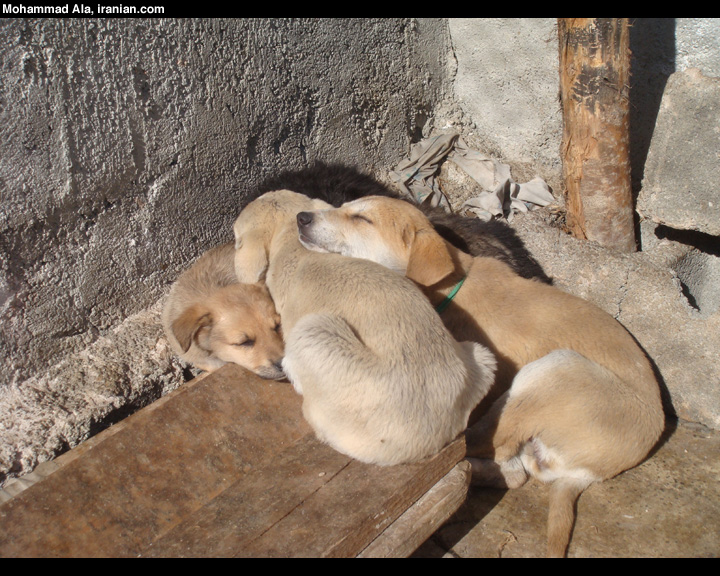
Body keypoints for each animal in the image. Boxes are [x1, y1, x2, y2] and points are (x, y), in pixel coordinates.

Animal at [295, 195, 666, 557]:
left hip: (554, 369)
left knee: (484, 445)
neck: (448, 287)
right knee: (510, 464)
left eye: (362, 219)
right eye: (341, 207)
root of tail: (592, 473)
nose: (301, 216)